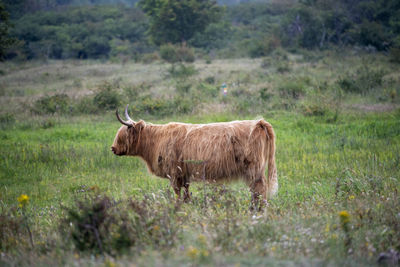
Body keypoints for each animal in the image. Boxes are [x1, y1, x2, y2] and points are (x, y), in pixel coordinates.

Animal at [111, 105, 276, 208]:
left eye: (122, 134)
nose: (113, 148)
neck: (156, 140)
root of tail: (259, 122)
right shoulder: (184, 174)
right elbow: (186, 193)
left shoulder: (175, 173)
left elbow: (177, 192)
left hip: (253, 168)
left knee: (259, 188)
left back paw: (257, 208)